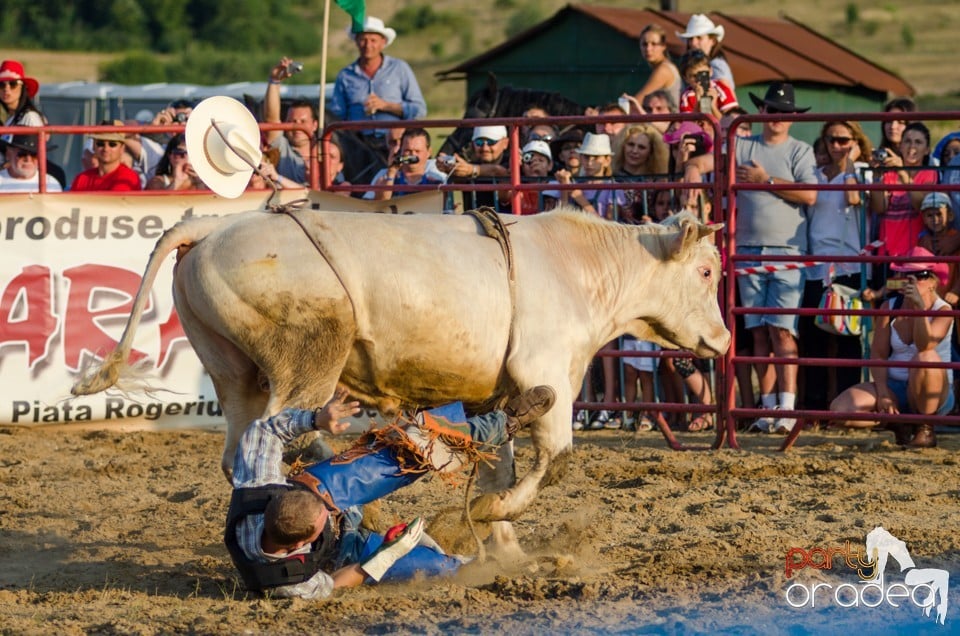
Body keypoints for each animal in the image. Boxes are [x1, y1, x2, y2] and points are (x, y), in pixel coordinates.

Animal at [71, 207, 728, 540]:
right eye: (706, 272)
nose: (723, 341)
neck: (581, 266)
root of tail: (211, 227)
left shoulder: (502, 392)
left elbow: (501, 465)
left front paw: (497, 545)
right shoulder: (545, 374)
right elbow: (555, 459)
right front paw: (490, 514)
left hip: (231, 369)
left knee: (242, 450)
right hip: (308, 355)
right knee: (286, 437)